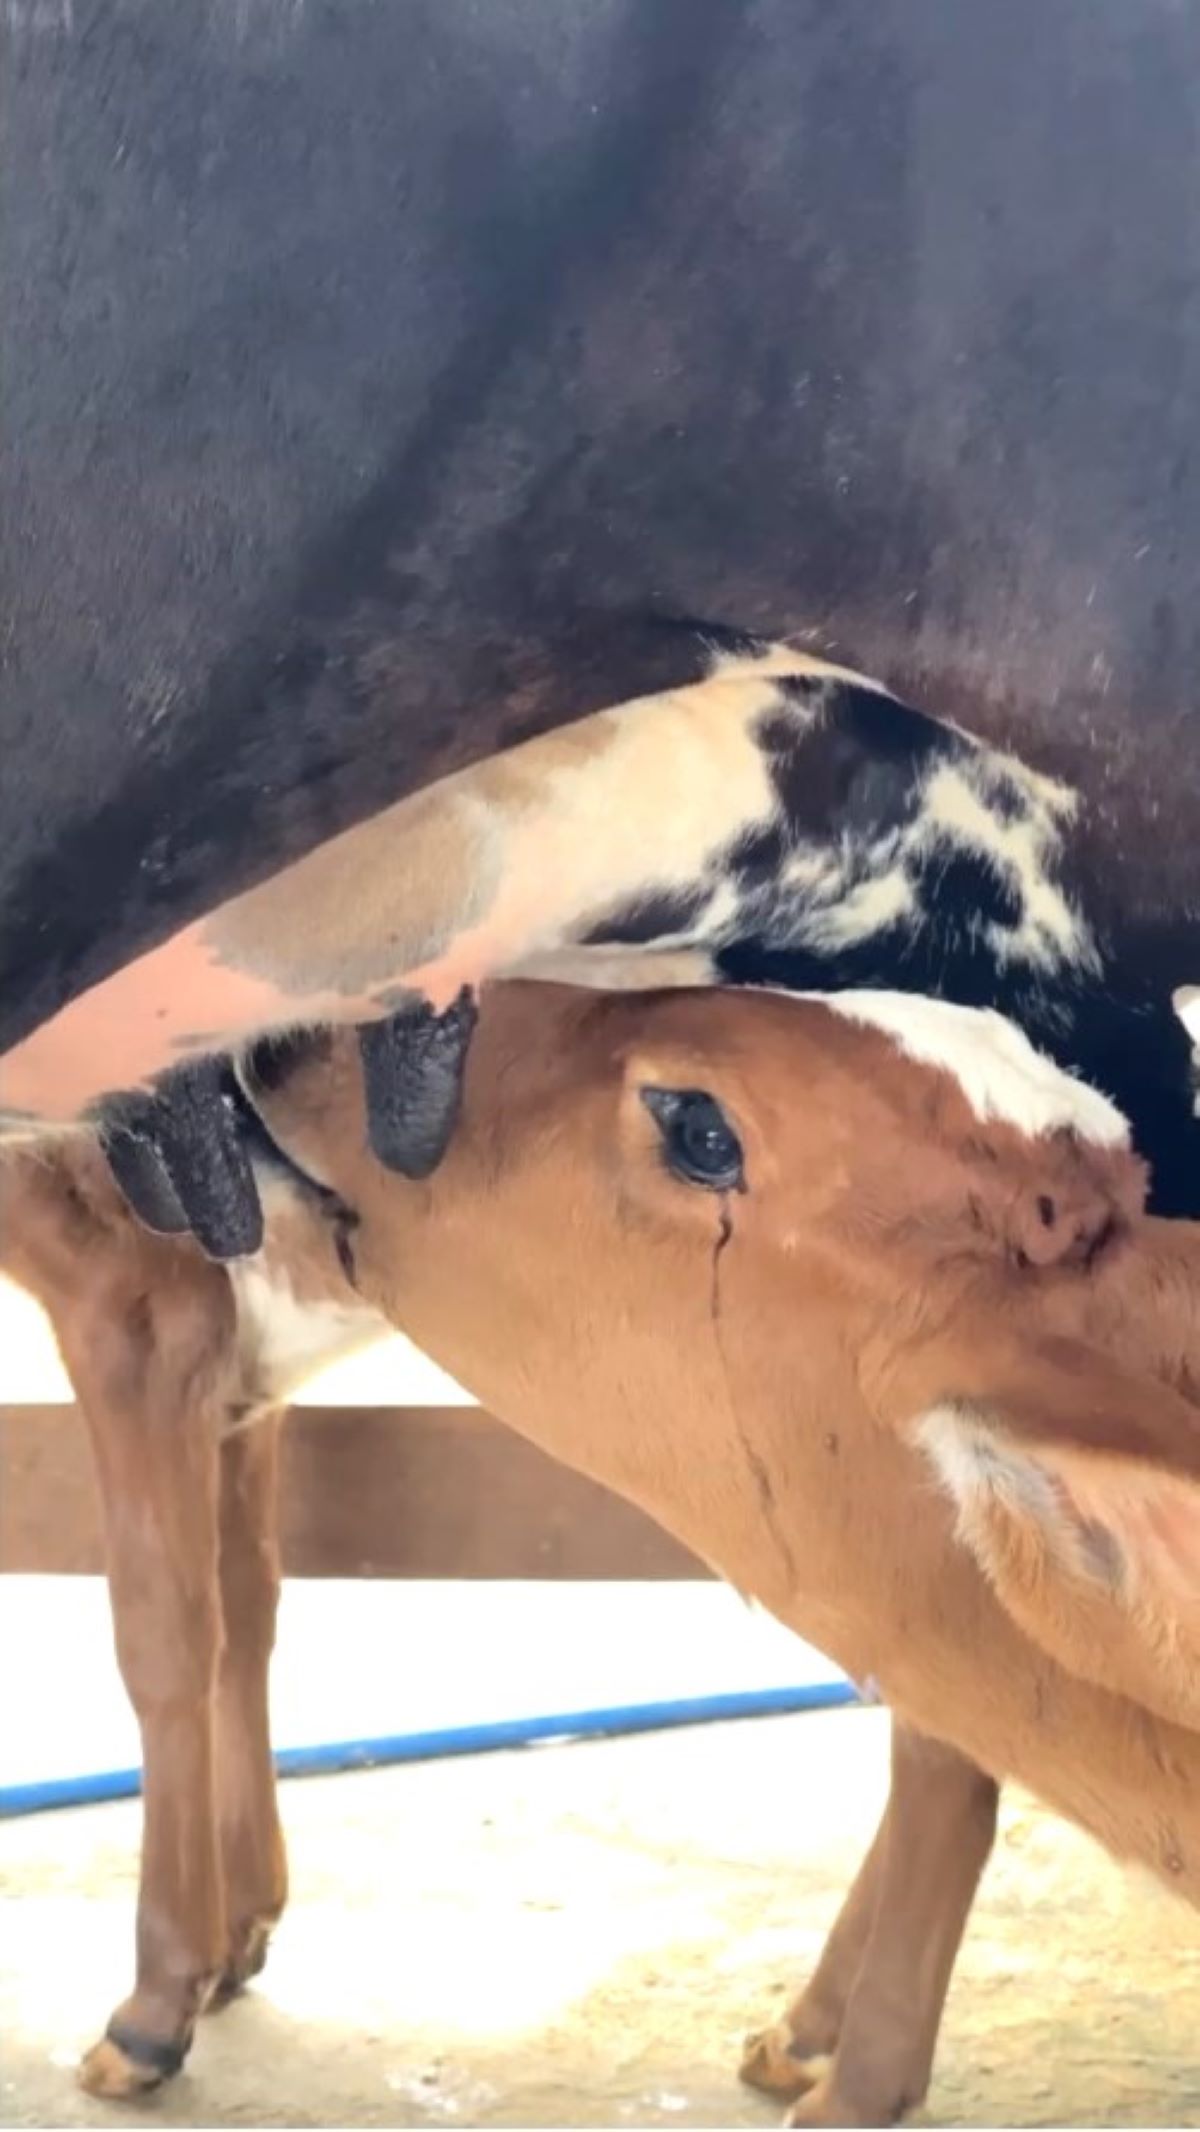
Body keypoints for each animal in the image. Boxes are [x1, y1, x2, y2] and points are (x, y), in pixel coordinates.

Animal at [3, 981, 1198, 2122]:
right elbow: (249, 1602)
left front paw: (154, 2005)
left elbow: (165, 1637)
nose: (296, 1027)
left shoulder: (142, 1313)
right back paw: (810, 2034)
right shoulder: (243, 1375)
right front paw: (240, 1923)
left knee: (938, 1752)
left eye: (703, 1128)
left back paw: (850, 2076)